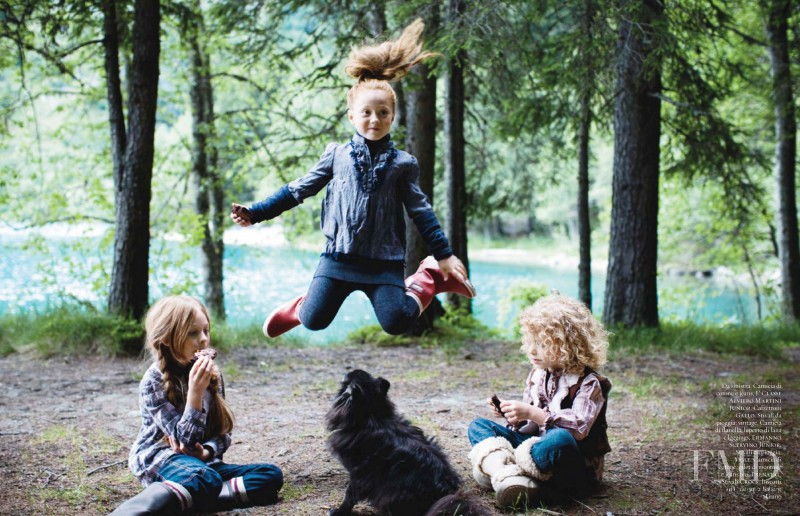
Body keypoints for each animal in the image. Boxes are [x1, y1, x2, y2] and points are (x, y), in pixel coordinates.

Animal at [324, 368, 484, 512]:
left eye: (348, 381)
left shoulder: (358, 472)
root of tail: (448, 492)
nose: (348, 370)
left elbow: (349, 496)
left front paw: (339, 511)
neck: (373, 417)